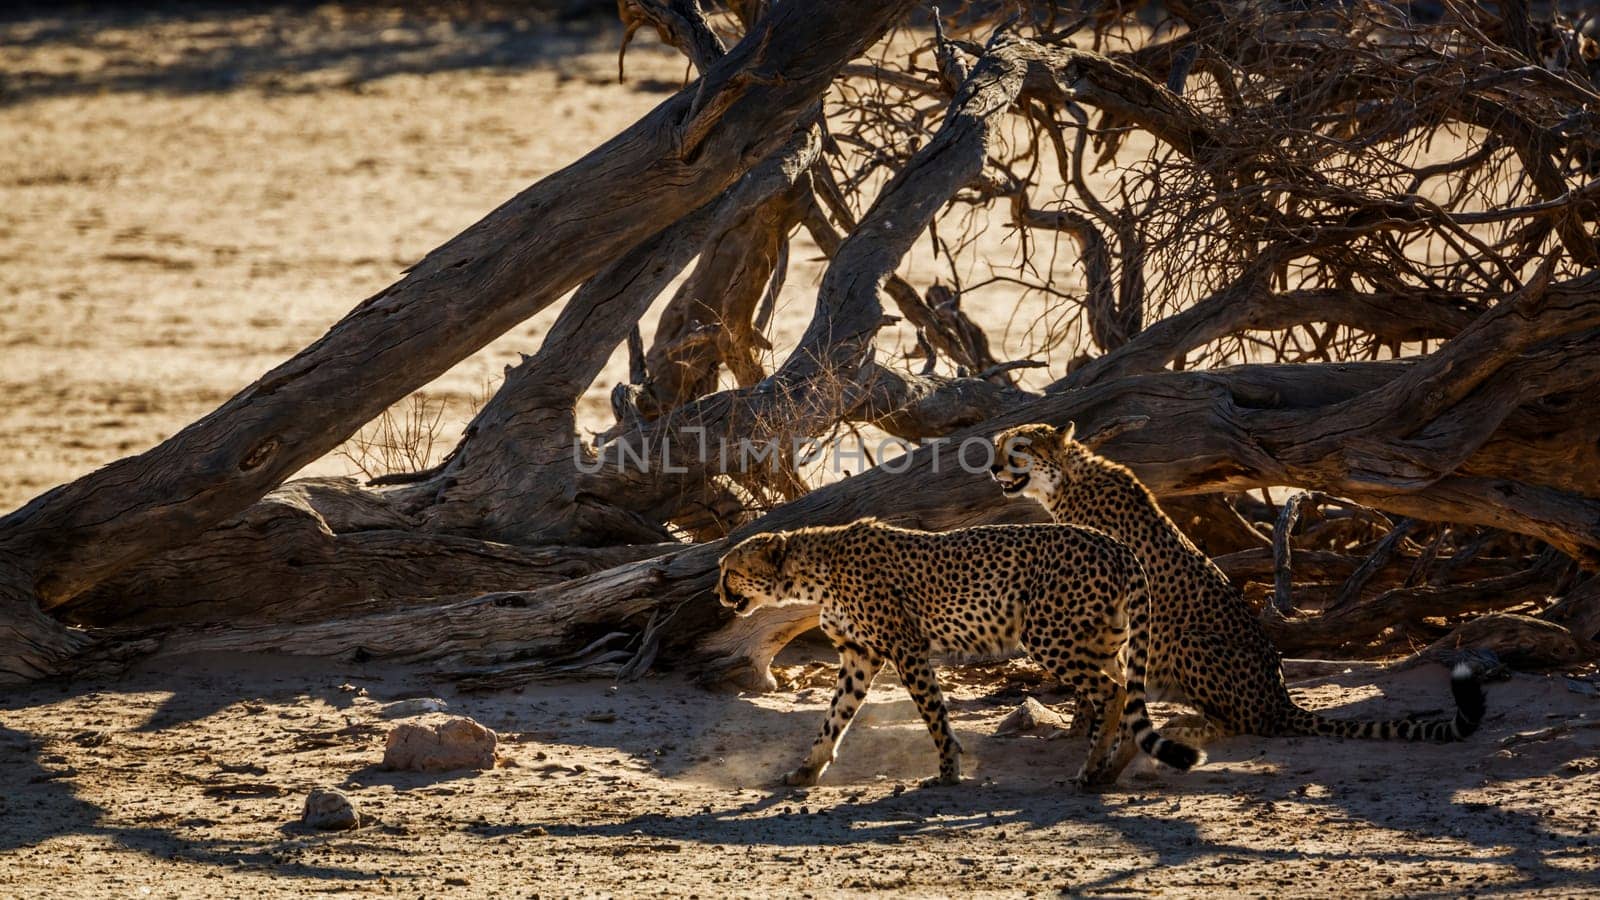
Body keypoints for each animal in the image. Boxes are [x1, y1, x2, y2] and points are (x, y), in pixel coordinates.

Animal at [716, 518, 1203, 784]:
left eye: (730, 570)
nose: (717, 593)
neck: (812, 571)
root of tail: (1114, 542)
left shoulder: (906, 647)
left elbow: (933, 712)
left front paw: (948, 769)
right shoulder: (858, 656)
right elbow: (833, 718)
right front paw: (807, 770)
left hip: (1049, 635)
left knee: (1113, 692)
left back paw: (1090, 770)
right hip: (1101, 641)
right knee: (1127, 695)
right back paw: (1109, 770)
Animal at [985, 419, 1484, 771]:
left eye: (1018, 449)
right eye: (997, 446)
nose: (991, 467)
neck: (1066, 481)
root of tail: (1280, 698)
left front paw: (1086, 729)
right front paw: (1079, 730)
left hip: (1189, 641)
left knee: (1245, 725)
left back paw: (1191, 725)